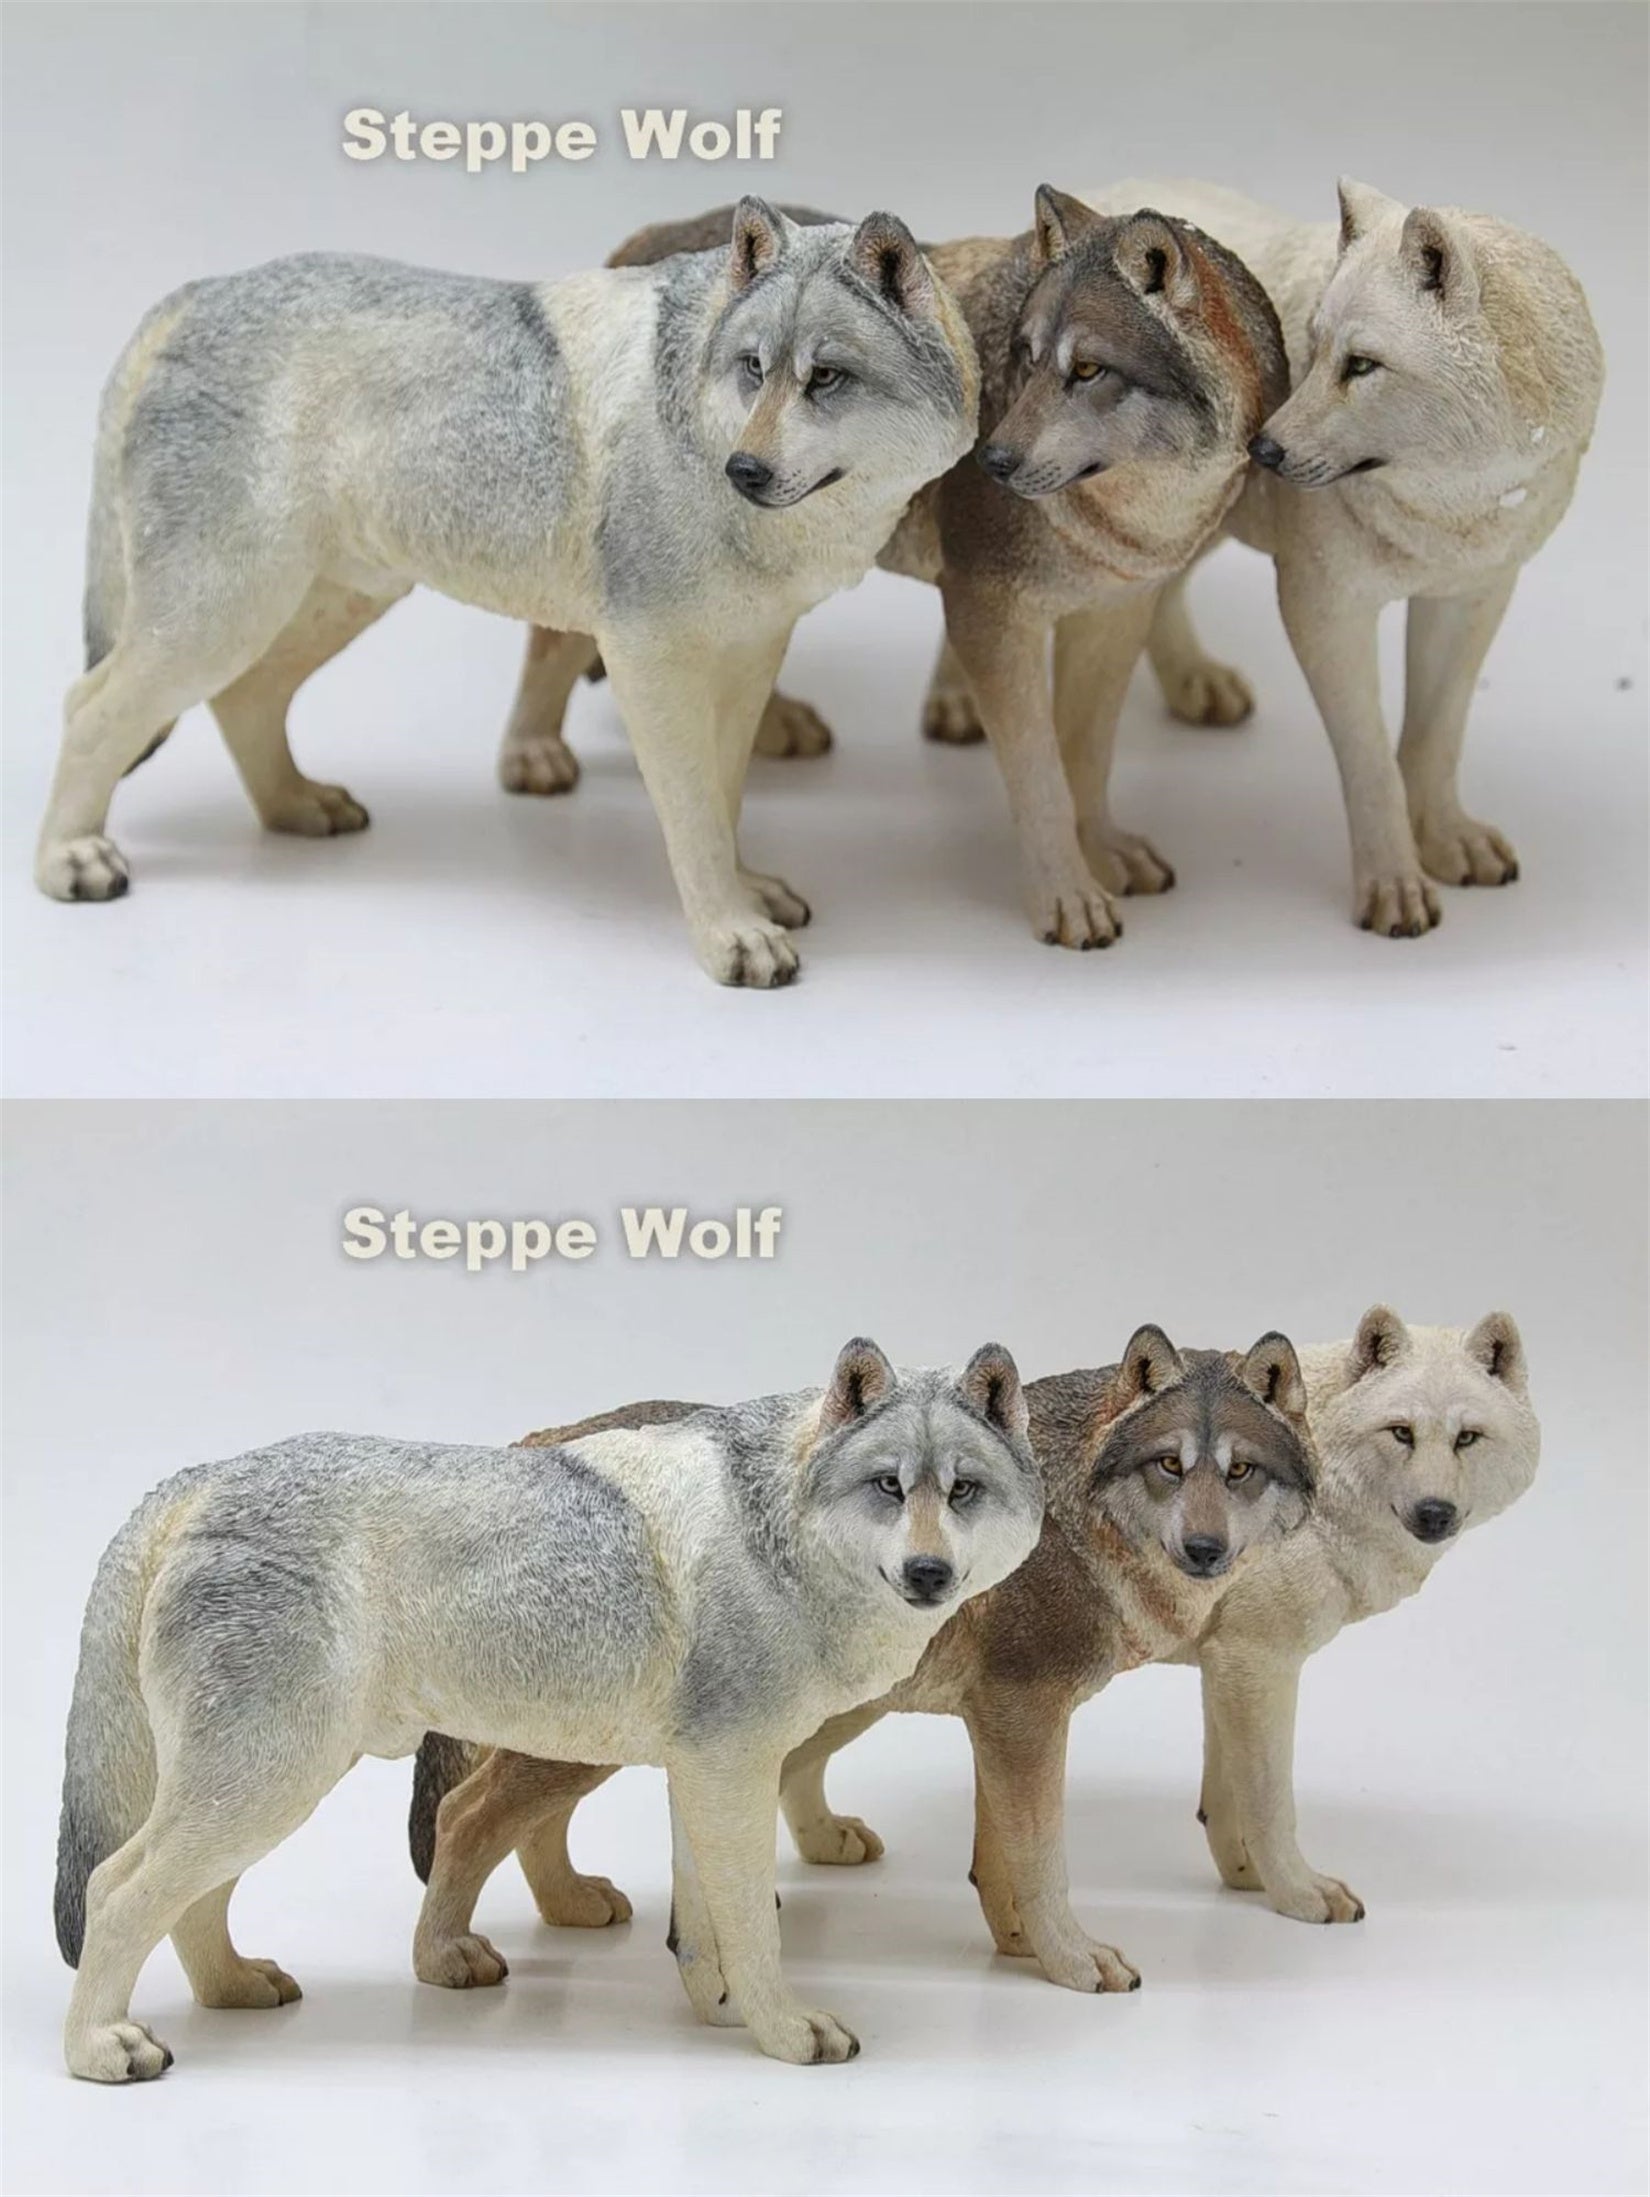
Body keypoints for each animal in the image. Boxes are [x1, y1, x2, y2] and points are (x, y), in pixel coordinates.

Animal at [33, 205, 978, 986]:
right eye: (754, 369)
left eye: (825, 379)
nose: (742, 469)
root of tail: (193, 293)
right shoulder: (650, 663)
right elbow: (694, 819)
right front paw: (729, 935)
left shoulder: (747, 663)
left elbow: (726, 802)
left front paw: (747, 895)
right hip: (221, 617)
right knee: (89, 705)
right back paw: (69, 858)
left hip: (317, 608)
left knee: (243, 700)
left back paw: (297, 807)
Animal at [53, 1340, 1042, 2080]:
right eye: (888, 1487)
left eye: (961, 1490)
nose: (928, 1573)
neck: (782, 1534)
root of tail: (200, 1476)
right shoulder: (732, 1772)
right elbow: (754, 1926)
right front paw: (786, 2031)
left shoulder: (705, 1773)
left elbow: (707, 1930)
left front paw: (724, 2013)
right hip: (269, 1783)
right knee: (116, 1887)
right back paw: (98, 2048)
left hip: (264, 1788)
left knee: (186, 1899)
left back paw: (234, 1988)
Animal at [409, 1326, 1316, 1997]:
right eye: (1170, 1464)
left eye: (1240, 1470)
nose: (1205, 1551)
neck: (1069, 1514)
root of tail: (536, 1439)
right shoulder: (1024, 1712)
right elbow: (1039, 1862)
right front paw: (1070, 1959)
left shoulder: (1002, 1720)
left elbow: (999, 1862)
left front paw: (1019, 1948)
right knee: (464, 1817)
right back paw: (446, 1955)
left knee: (524, 1824)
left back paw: (570, 1905)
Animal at [505, 188, 1289, 946]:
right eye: (1027, 357)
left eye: (1088, 369)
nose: (990, 460)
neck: (1131, 514)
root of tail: (644, 237)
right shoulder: (991, 614)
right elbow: (1040, 779)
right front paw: (1066, 896)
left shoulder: (1113, 617)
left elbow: (1087, 761)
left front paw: (1101, 849)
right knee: (552, 643)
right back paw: (532, 754)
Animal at [1096, 178, 1604, 936]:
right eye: (1312, 349)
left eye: (1361, 365)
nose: (1263, 450)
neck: (1453, 505)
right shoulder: (1325, 609)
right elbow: (1372, 762)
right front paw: (1394, 886)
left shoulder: (1471, 595)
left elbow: (1435, 737)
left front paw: (1447, 840)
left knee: (1162, 591)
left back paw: (1196, 684)